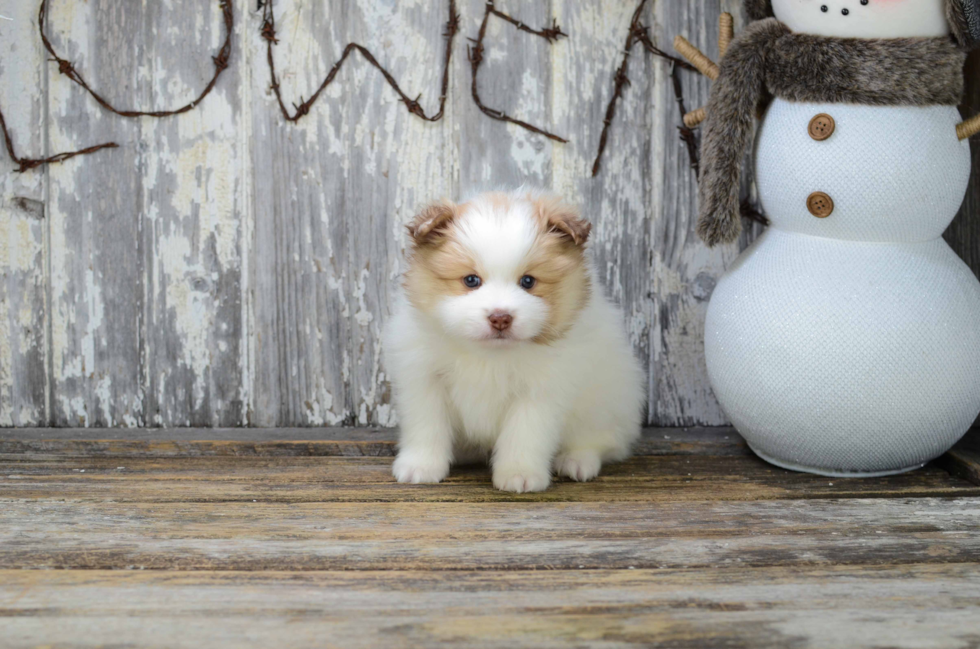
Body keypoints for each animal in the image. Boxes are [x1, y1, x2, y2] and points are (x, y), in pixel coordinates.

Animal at [386, 190, 648, 494]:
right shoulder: (425, 381)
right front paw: (421, 466)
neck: (488, 354)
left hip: (606, 403)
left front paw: (519, 474)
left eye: (528, 281)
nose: (500, 318)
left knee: (603, 441)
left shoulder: (539, 392)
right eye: (471, 280)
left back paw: (577, 461)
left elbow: (524, 435)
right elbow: (427, 427)